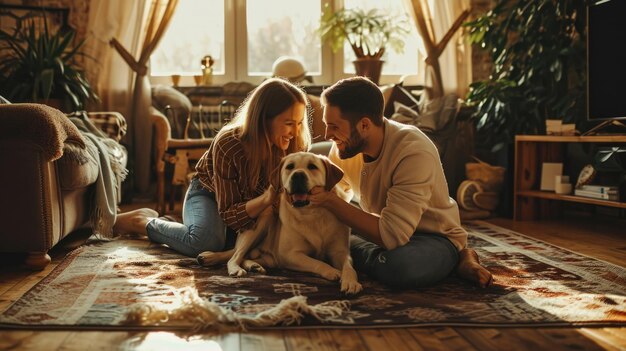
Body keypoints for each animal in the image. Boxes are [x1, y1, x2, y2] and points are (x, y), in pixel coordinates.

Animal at [195, 153, 360, 296]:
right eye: (290, 167)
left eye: (312, 166)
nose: (298, 175)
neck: (312, 213)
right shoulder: (289, 255)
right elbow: (316, 262)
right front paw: (332, 271)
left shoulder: (340, 252)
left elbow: (349, 266)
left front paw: (351, 282)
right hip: (264, 217)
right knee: (235, 255)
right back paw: (234, 267)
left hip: (270, 258)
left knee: (245, 256)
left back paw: (253, 265)